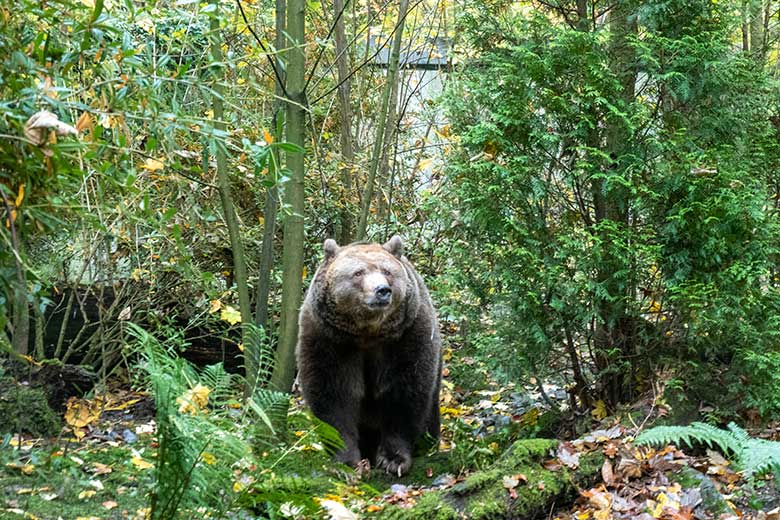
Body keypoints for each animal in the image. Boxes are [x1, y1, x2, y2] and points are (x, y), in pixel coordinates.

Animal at [294, 236, 438, 476]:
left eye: (387, 271)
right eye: (358, 273)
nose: (382, 290)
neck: (367, 333)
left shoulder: (406, 336)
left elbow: (404, 391)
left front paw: (393, 459)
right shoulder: (330, 340)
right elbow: (334, 395)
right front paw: (347, 463)